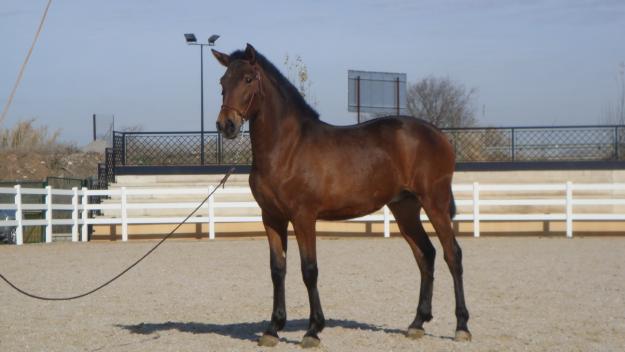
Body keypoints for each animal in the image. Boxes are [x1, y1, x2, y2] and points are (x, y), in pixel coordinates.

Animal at [212, 43, 470, 346]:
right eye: (222, 82)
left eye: (248, 79)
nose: (226, 125)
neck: (287, 148)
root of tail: (439, 135)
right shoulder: (272, 218)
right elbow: (278, 270)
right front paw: (273, 328)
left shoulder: (303, 217)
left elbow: (309, 270)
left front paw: (313, 330)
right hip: (405, 209)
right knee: (426, 255)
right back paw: (417, 322)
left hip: (435, 203)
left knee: (452, 255)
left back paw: (462, 326)